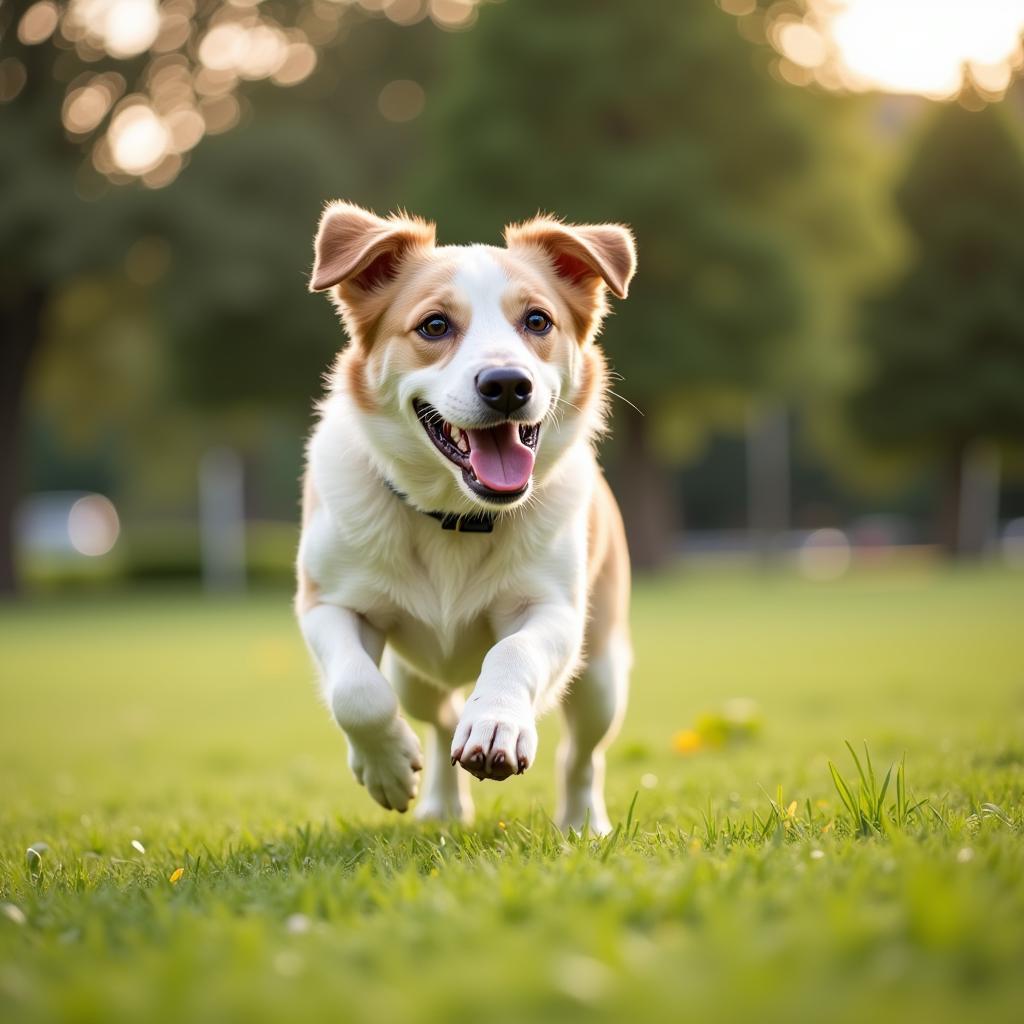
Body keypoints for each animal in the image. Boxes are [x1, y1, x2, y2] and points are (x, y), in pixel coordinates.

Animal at [292, 201, 634, 831]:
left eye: (538, 321)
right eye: (434, 326)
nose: (507, 384)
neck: (457, 516)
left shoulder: (554, 609)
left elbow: (512, 651)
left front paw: (496, 723)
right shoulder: (326, 603)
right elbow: (356, 691)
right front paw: (388, 767)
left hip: (600, 673)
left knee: (582, 753)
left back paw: (582, 821)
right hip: (416, 676)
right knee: (438, 716)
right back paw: (442, 804)